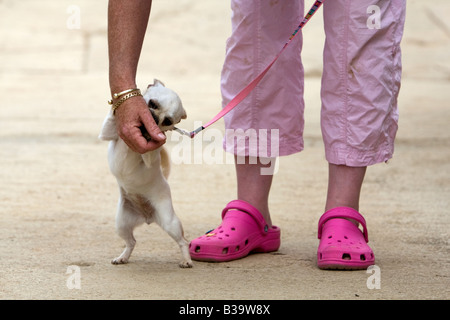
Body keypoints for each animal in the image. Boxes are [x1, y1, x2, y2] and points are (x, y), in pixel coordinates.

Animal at [99, 79, 192, 268]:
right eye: (152, 104)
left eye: (167, 121)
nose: (154, 120)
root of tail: (147, 217)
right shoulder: (107, 134)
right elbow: (111, 120)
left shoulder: (150, 158)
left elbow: (151, 150)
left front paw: (151, 136)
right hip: (122, 223)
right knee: (131, 242)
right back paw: (123, 257)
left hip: (170, 223)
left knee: (183, 242)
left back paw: (186, 260)